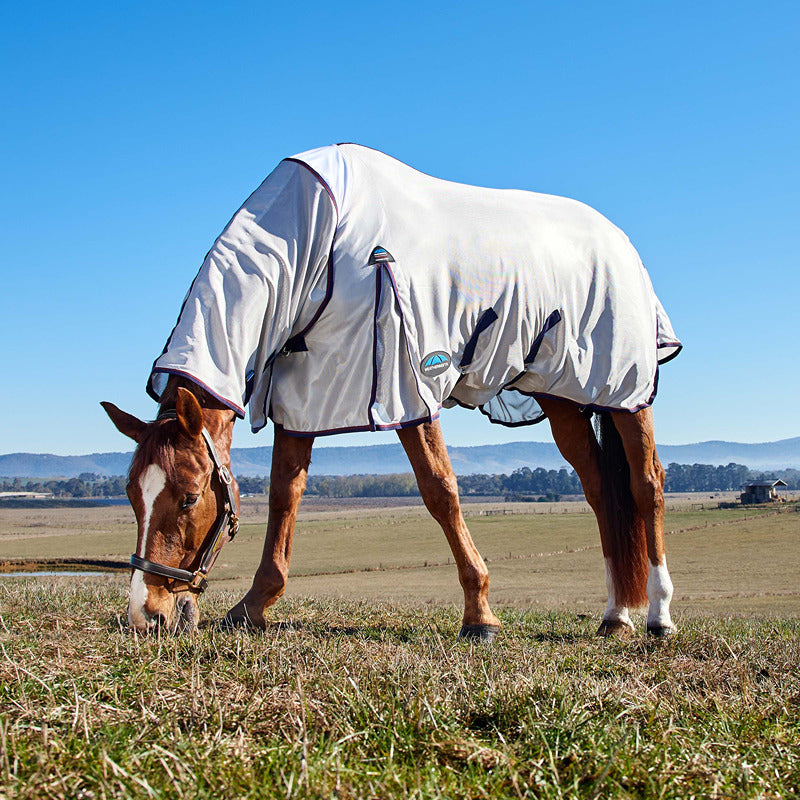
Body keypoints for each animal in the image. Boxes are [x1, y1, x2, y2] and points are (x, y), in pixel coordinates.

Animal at [102, 144, 681, 639]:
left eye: (189, 495)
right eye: (131, 494)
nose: (147, 616)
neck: (319, 243)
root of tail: (619, 242)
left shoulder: (408, 383)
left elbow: (440, 490)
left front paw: (480, 615)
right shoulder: (306, 391)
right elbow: (285, 496)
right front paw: (253, 607)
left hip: (625, 390)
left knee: (646, 485)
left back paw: (657, 616)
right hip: (560, 396)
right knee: (600, 491)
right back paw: (614, 615)